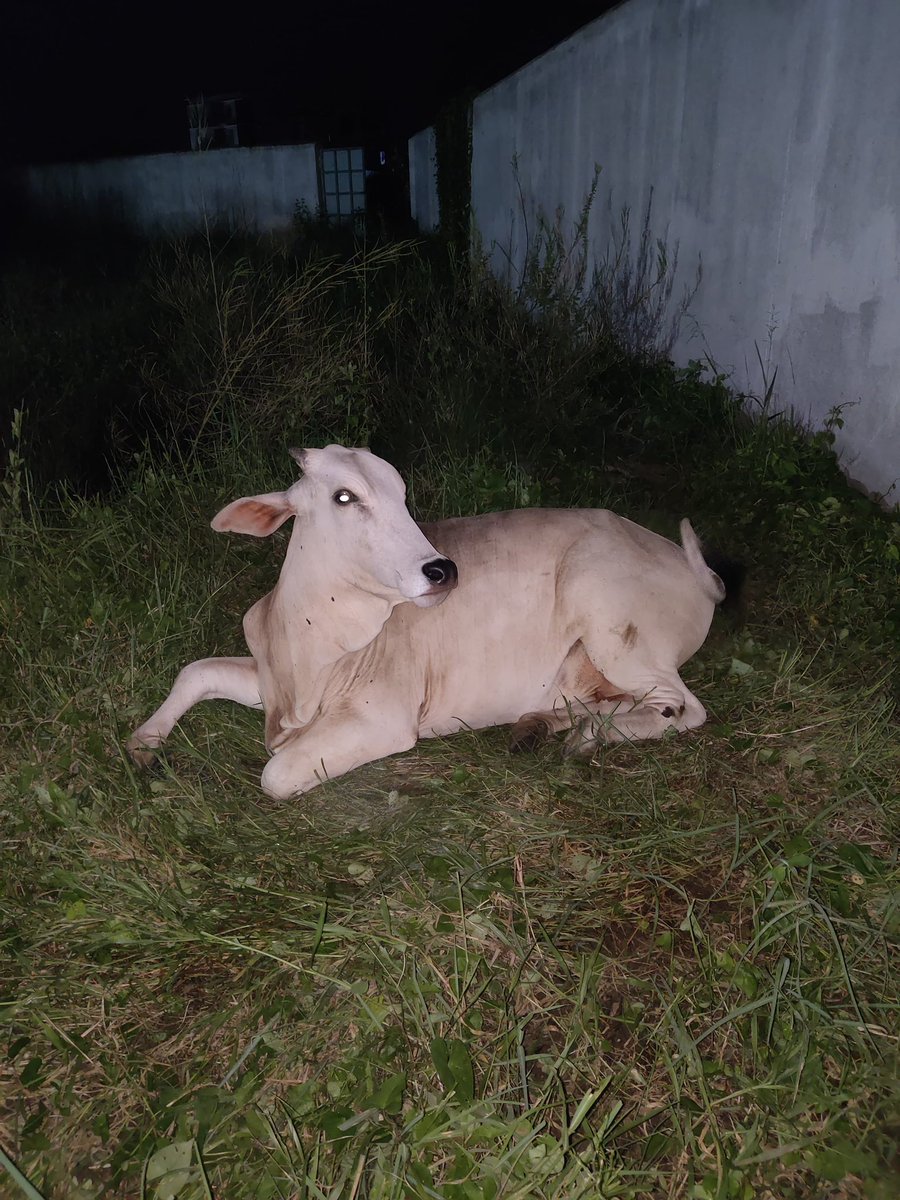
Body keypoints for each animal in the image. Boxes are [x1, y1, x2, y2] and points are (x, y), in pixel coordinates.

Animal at [127, 444, 732, 799]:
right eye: (344, 496)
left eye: (402, 494)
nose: (441, 569)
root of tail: (693, 568)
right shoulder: (268, 679)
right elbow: (197, 671)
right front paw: (142, 744)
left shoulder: (381, 718)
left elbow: (275, 774)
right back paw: (541, 727)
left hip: (617, 627)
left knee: (684, 708)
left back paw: (587, 737)